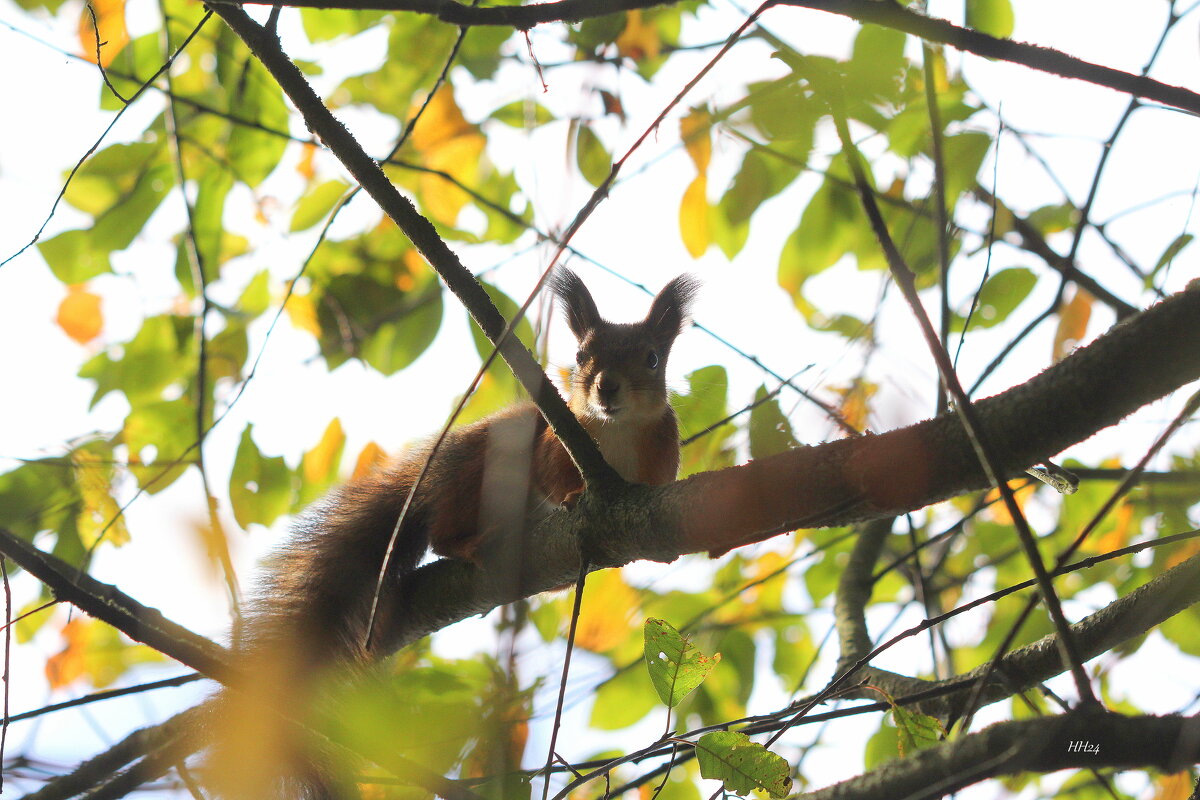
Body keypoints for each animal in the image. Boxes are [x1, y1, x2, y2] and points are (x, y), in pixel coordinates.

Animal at [205, 271, 696, 800]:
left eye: (652, 358)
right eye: (583, 354)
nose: (606, 387)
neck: (615, 430)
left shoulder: (663, 450)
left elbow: (657, 483)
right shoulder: (551, 443)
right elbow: (551, 479)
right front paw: (571, 496)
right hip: (478, 479)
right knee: (442, 533)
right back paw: (472, 542)